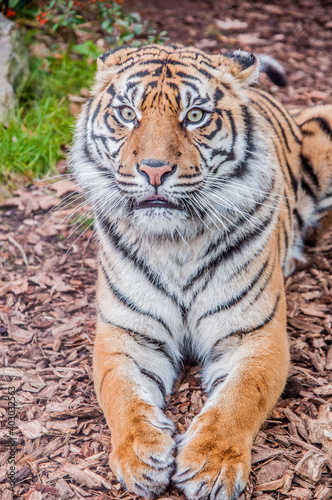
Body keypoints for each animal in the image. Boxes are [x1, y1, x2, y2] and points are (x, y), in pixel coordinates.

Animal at [69, 44, 332, 500]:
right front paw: (139, 455)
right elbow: (121, 394)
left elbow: (239, 399)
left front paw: (212, 464)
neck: (176, 242)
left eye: (194, 116)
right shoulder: (125, 334)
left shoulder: (256, 336)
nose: (154, 170)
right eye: (127, 113)